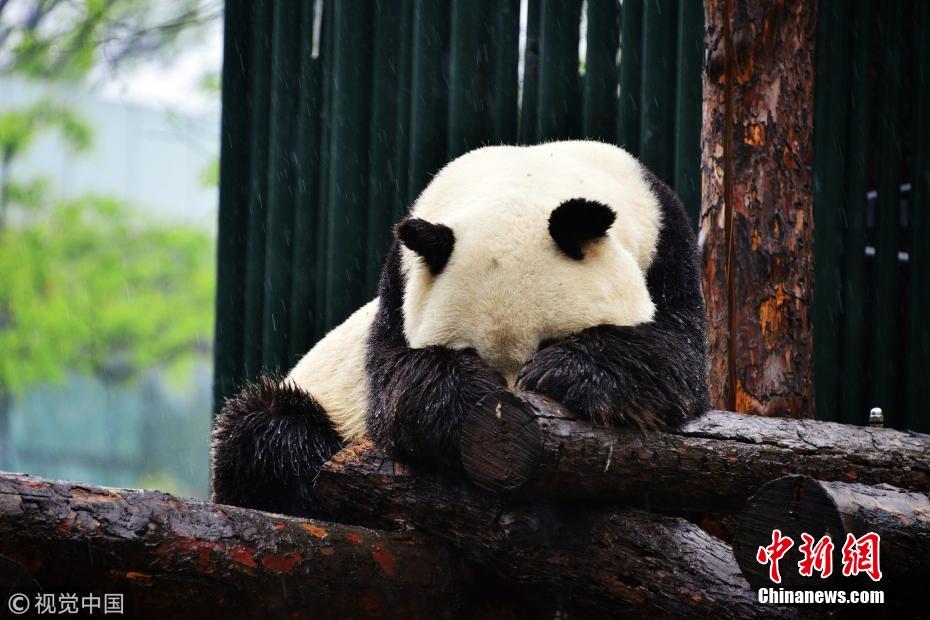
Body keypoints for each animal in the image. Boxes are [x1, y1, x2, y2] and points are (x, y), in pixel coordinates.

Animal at [208, 142, 704, 520]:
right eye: (471, 353)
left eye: (549, 341)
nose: (504, 432)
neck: (522, 177)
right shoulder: (400, 281)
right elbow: (395, 389)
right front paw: (464, 397)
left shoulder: (668, 244)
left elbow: (675, 363)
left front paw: (566, 372)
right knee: (265, 433)